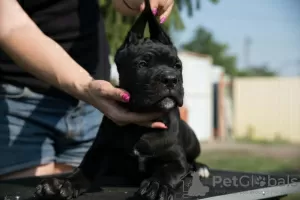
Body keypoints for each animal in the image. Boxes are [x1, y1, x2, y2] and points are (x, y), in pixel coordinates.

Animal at [33, 0, 209, 199]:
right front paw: (63, 183)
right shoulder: (98, 151)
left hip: (193, 141)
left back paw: (200, 168)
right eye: (142, 64)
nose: (171, 79)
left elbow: (167, 171)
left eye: (177, 66)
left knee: (192, 159)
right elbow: (83, 171)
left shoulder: (176, 160)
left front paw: (158, 185)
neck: (140, 127)